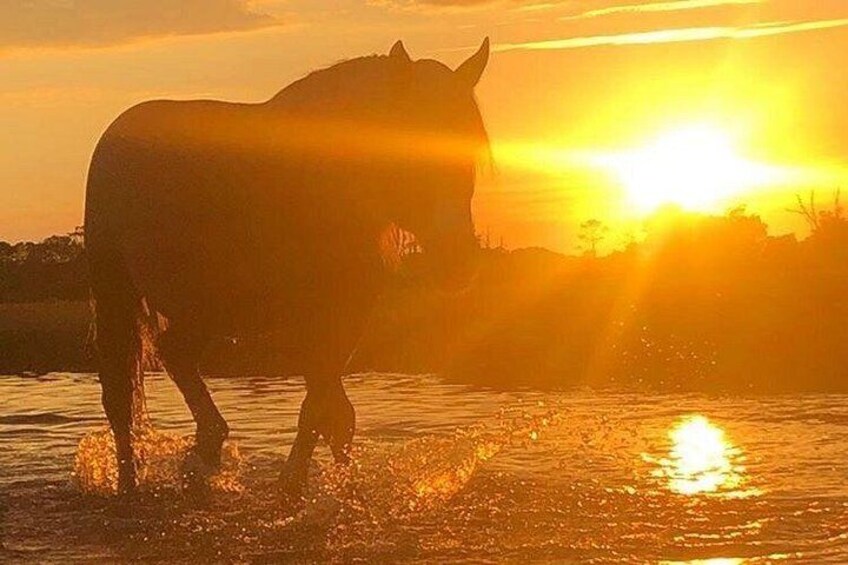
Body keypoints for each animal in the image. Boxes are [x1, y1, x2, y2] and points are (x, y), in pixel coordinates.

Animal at [84, 39, 490, 496]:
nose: (458, 264)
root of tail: (118, 128)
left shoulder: (345, 317)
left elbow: (334, 413)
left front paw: (338, 485)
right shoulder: (308, 321)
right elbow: (322, 408)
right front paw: (293, 486)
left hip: (206, 304)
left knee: (176, 355)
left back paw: (204, 451)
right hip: (117, 288)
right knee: (120, 396)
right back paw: (132, 483)